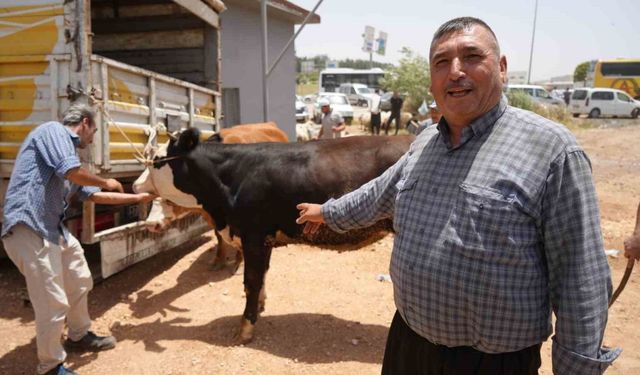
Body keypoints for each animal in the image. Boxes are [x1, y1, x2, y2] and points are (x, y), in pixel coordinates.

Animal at [132, 130, 412, 344]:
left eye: (157, 160)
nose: (135, 185)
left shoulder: (253, 236)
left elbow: (251, 281)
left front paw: (245, 328)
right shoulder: (264, 238)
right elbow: (262, 275)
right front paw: (260, 306)